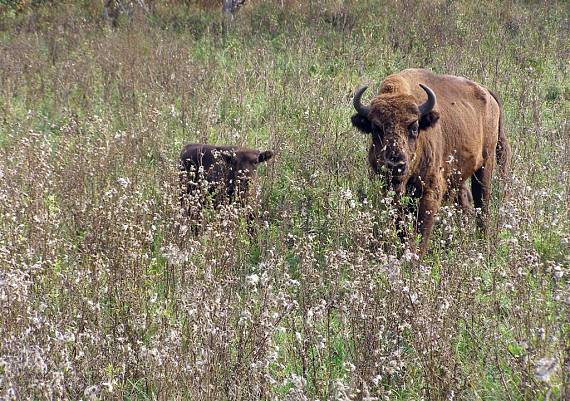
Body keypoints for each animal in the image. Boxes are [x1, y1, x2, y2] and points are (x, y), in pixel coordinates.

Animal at [348, 67, 508, 252]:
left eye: (414, 127)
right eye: (375, 128)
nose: (396, 164)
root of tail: (488, 94)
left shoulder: (430, 193)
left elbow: (421, 232)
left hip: (485, 165)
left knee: (482, 203)